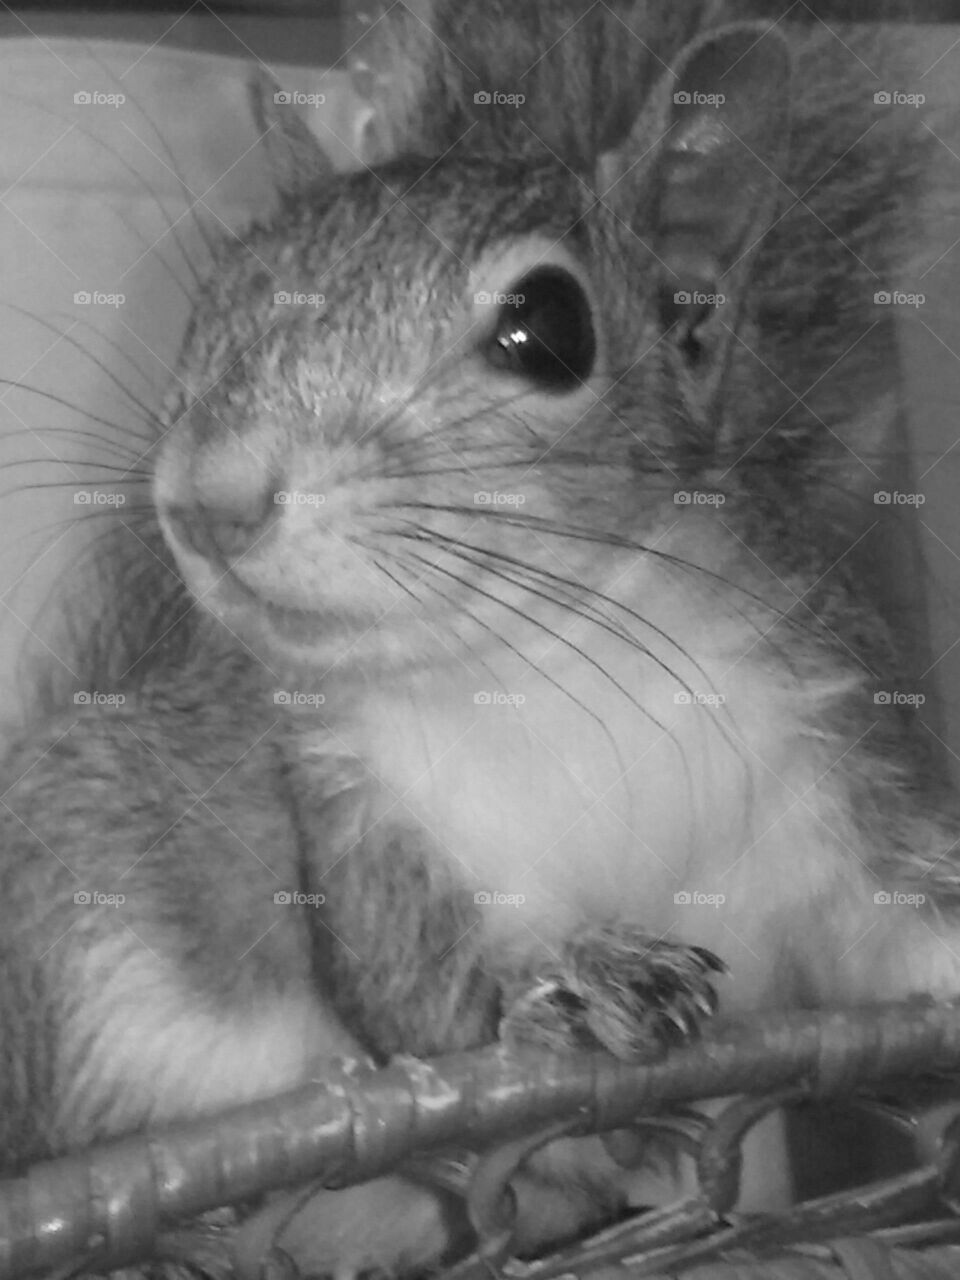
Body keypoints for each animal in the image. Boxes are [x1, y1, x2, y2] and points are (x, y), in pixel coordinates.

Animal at [2, 2, 958, 1276]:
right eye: (210, 301)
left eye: (547, 327)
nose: (208, 497)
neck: (546, 655)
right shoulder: (355, 816)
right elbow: (424, 989)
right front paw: (581, 973)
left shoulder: (835, 753)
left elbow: (900, 922)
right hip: (71, 897)